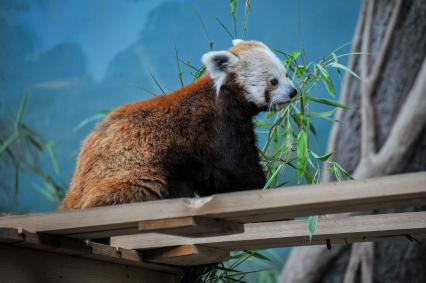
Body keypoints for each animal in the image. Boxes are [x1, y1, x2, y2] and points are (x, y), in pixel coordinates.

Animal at [61, 38, 298, 210]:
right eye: (273, 81)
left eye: (286, 74)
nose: (293, 92)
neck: (224, 96)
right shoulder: (218, 129)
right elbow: (237, 167)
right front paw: (261, 185)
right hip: (132, 176)